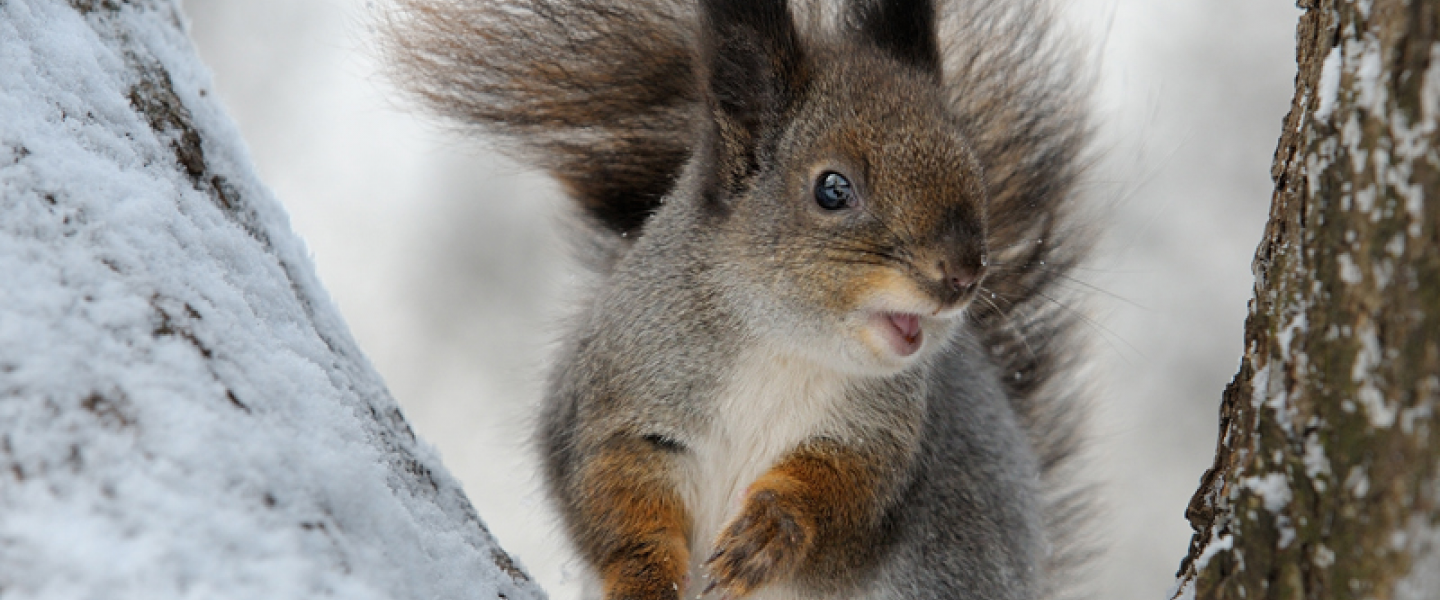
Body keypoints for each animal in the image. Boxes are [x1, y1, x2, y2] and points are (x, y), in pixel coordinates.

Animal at [383, 0, 1088, 595]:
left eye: (972, 168)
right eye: (833, 189)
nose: (963, 273)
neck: (780, 344)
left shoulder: (879, 439)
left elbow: (842, 500)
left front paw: (771, 533)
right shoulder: (626, 394)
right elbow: (619, 499)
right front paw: (645, 578)